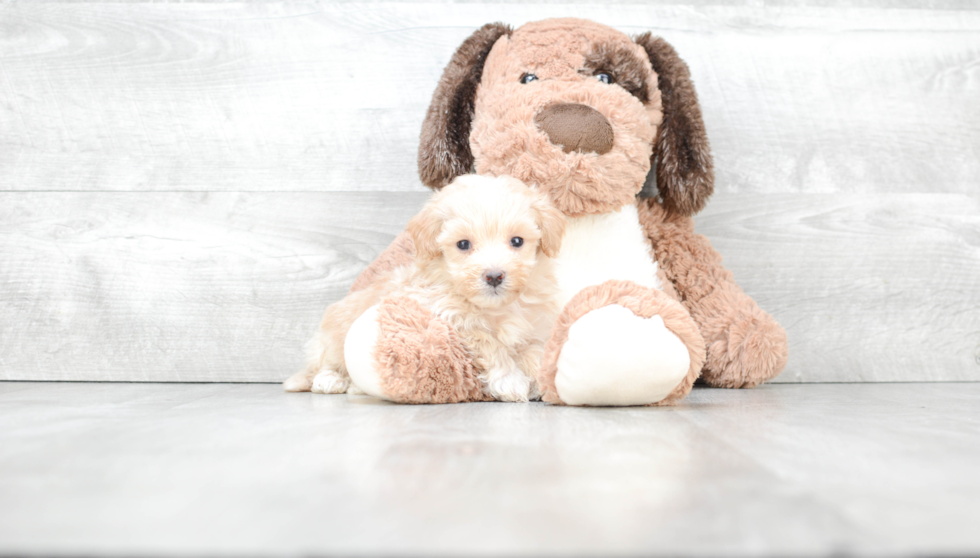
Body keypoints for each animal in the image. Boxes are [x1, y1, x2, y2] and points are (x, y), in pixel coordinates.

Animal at [284, 175, 564, 402]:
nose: (494, 276)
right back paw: (331, 380)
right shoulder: (449, 316)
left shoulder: (535, 327)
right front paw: (510, 380)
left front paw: (541, 380)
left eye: (517, 241)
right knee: (322, 364)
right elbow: (489, 342)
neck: (496, 309)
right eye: (463, 244)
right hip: (333, 337)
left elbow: (534, 350)